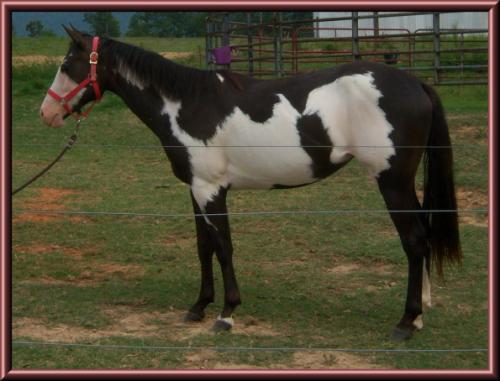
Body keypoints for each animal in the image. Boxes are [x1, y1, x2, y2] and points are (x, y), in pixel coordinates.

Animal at [40, 27, 464, 342]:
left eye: (67, 63)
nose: (46, 113)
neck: (187, 104)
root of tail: (416, 84)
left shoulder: (211, 190)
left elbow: (224, 248)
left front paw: (226, 313)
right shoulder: (196, 190)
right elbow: (204, 248)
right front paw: (198, 307)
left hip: (392, 182)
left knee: (414, 241)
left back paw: (406, 322)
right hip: (403, 184)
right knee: (423, 236)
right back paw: (419, 314)